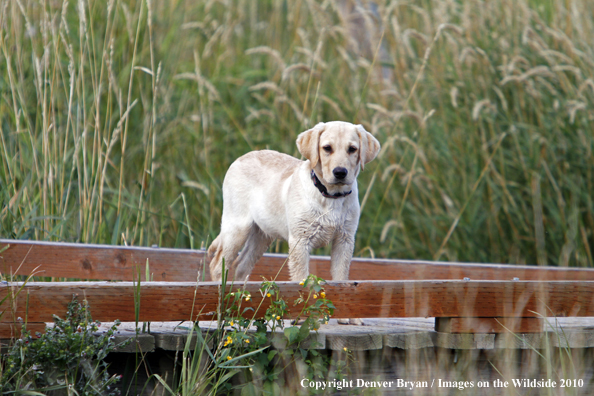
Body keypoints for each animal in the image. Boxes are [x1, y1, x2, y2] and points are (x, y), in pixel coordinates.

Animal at [208, 122, 380, 324]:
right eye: (327, 148)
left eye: (352, 149)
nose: (340, 172)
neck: (330, 196)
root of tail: (240, 158)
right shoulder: (300, 241)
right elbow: (302, 280)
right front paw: (304, 315)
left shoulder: (344, 239)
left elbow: (342, 279)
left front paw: (348, 316)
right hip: (237, 227)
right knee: (218, 265)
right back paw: (221, 307)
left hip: (262, 235)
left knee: (241, 266)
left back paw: (241, 303)